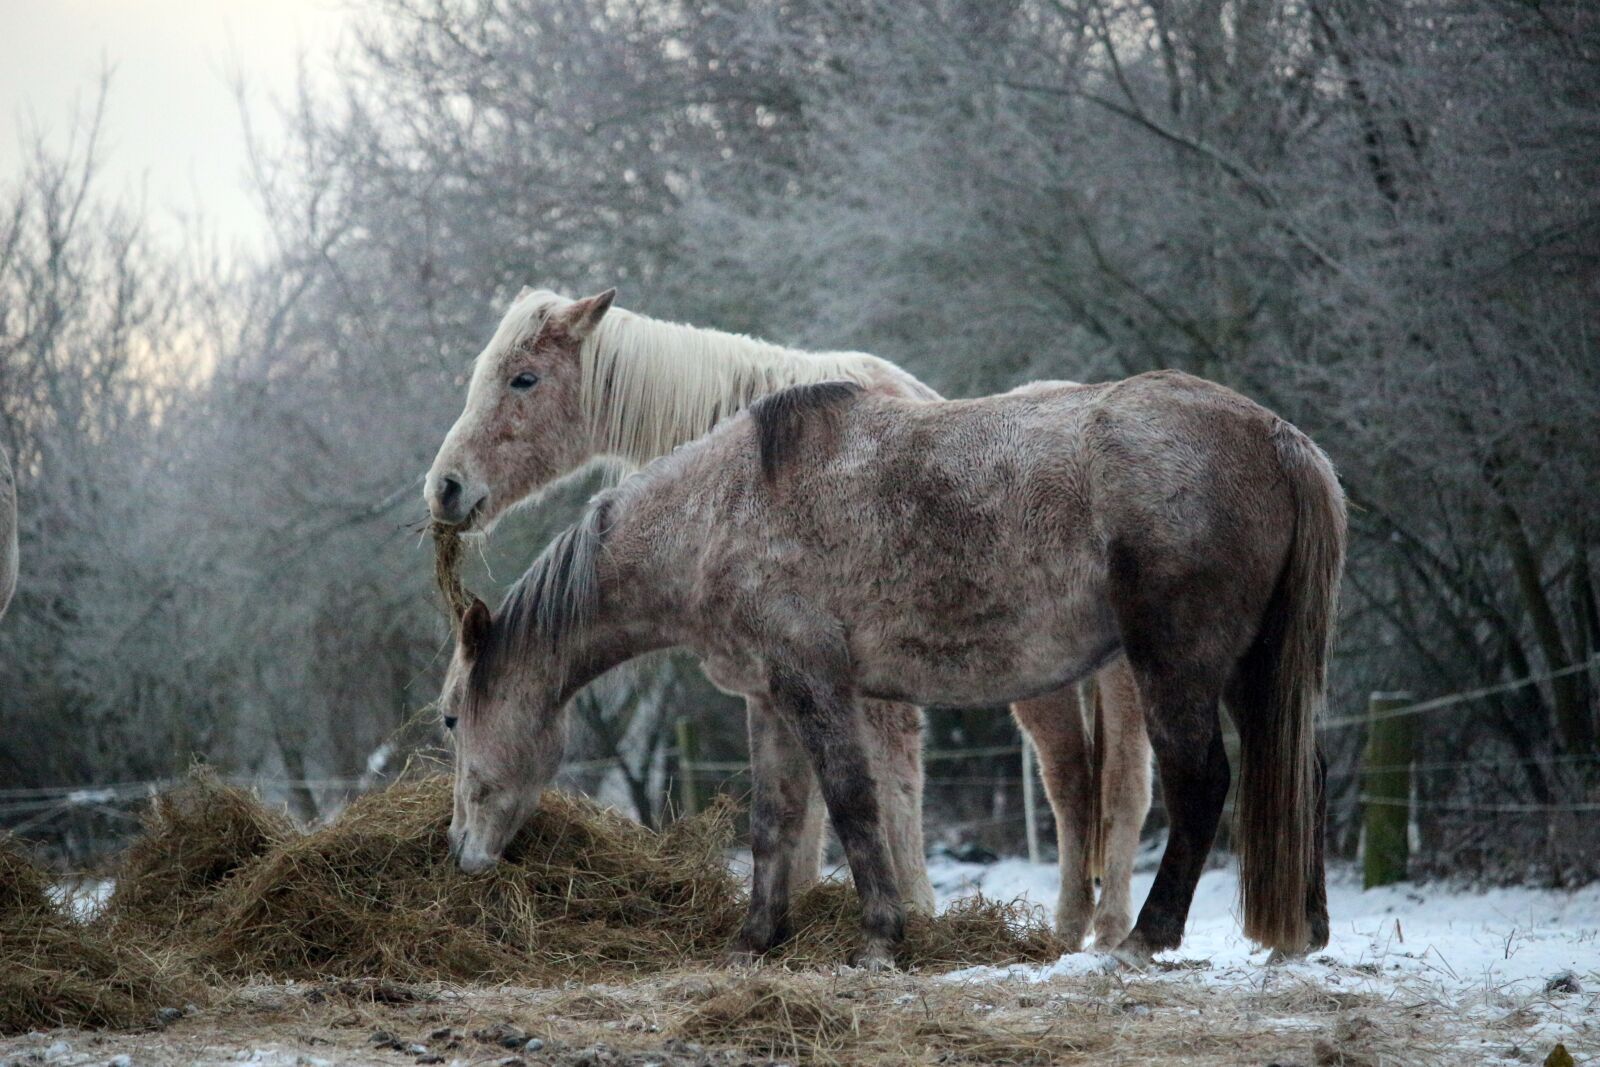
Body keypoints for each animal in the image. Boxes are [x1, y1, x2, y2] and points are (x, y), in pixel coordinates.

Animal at [424, 288, 1151, 949]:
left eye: (523, 378)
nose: (445, 487)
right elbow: (808, 806)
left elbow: (882, 789)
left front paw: (907, 909)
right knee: (1084, 782)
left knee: (1104, 785)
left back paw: (1101, 929)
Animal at [439, 372, 1345, 969]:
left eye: (451, 717)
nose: (463, 855)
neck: (723, 509)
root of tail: (1276, 436)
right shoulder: (771, 697)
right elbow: (774, 820)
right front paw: (756, 938)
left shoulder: (817, 685)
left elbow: (851, 801)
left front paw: (880, 935)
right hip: (1255, 668)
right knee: (1300, 770)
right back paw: (1300, 935)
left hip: (1175, 666)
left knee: (1201, 785)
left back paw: (1138, 941)